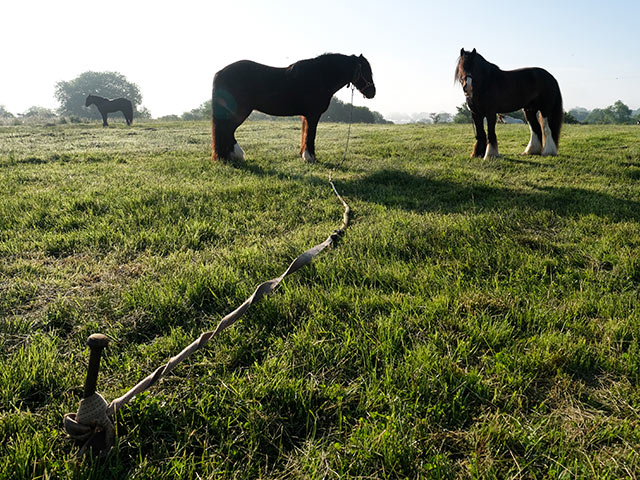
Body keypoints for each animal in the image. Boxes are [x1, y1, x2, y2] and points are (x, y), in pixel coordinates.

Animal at [210, 52, 376, 161]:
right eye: (366, 70)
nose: (372, 92)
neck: (320, 76)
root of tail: (220, 73)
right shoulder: (313, 115)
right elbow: (311, 134)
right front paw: (310, 157)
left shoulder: (306, 116)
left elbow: (305, 133)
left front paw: (304, 155)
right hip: (240, 111)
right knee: (226, 129)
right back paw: (232, 155)